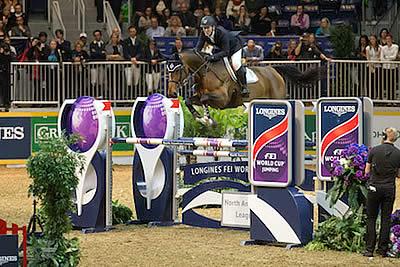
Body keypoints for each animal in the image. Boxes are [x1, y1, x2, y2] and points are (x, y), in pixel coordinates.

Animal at [167, 49, 324, 127]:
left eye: (177, 69)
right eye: (168, 70)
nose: (171, 93)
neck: (205, 72)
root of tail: (273, 69)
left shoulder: (222, 99)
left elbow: (205, 98)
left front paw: (208, 120)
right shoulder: (200, 97)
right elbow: (189, 101)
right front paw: (202, 118)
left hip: (277, 99)